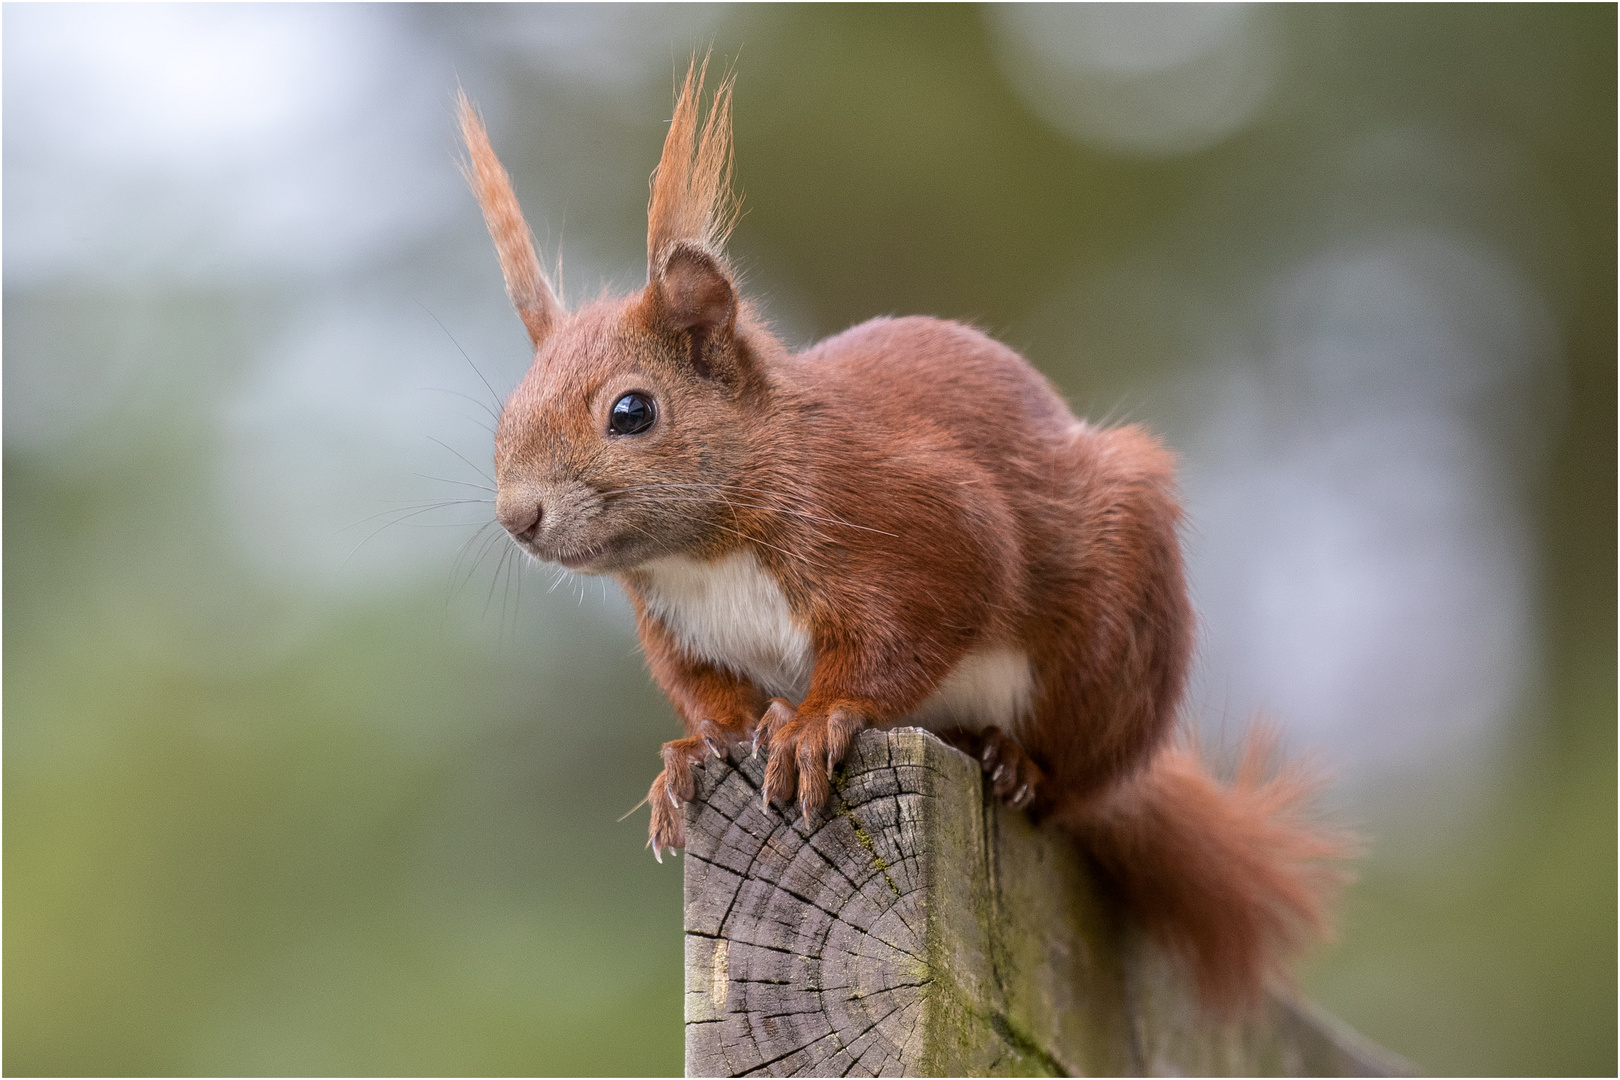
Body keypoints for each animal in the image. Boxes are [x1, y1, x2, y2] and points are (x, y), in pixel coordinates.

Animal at [456, 65, 1341, 1016]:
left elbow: (906, 636)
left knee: (1075, 783)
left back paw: (1016, 761)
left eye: (631, 411)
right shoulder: (680, 629)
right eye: (508, 414)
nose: (519, 517)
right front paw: (694, 752)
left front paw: (815, 723)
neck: (706, 556)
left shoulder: (924, 527)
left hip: (1112, 642)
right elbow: (710, 696)